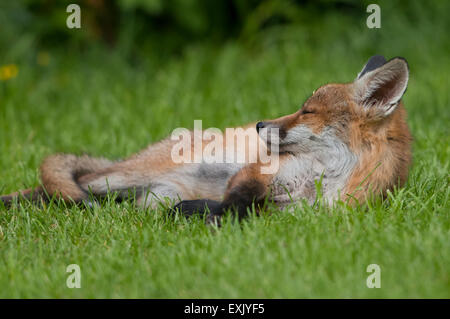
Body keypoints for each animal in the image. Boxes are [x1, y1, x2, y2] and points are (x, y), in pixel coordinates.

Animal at [1, 55, 414, 224]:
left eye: (307, 112)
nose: (260, 124)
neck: (320, 179)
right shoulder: (259, 173)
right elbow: (238, 199)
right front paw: (212, 218)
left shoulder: (299, 214)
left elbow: (249, 210)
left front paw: (202, 215)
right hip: (117, 178)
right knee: (58, 188)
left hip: (145, 195)